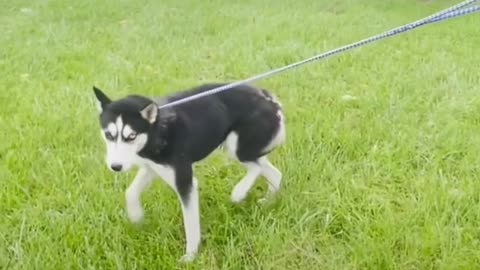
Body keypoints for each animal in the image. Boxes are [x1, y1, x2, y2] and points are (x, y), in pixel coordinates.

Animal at [93, 83, 284, 262]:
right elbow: (130, 192)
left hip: (237, 147)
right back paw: (268, 201)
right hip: (240, 148)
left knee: (256, 168)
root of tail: (267, 96)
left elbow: (190, 224)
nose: (115, 166)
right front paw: (136, 217)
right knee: (274, 173)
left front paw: (190, 256)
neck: (159, 129)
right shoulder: (152, 167)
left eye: (131, 136)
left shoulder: (185, 182)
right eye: (109, 135)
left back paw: (239, 191)